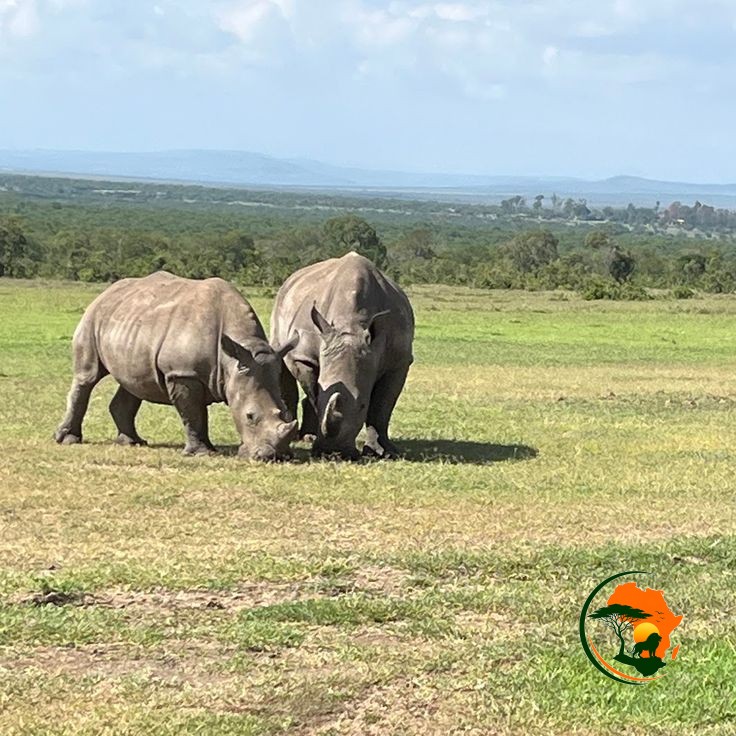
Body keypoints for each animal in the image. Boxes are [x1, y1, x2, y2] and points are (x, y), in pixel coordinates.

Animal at [55, 271, 298, 460]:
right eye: (250, 416)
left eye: (286, 413)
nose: (274, 456)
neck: (233, 357)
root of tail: (106, 292)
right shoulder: (182, 373)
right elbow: (193, 414)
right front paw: (202, 453)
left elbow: (197, 413)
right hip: (92, 318)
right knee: (87, 377)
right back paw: (67, 440)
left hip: (129, 325)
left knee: (132, 383)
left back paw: (133, 442)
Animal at [270, 252, 414, 460]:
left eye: (362, 405)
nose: (333, 453)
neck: (351, 325)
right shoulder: (304, 356)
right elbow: (314, 394)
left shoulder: (400, 362)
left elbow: (381, 408)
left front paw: (383, 452)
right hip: (281, 305)